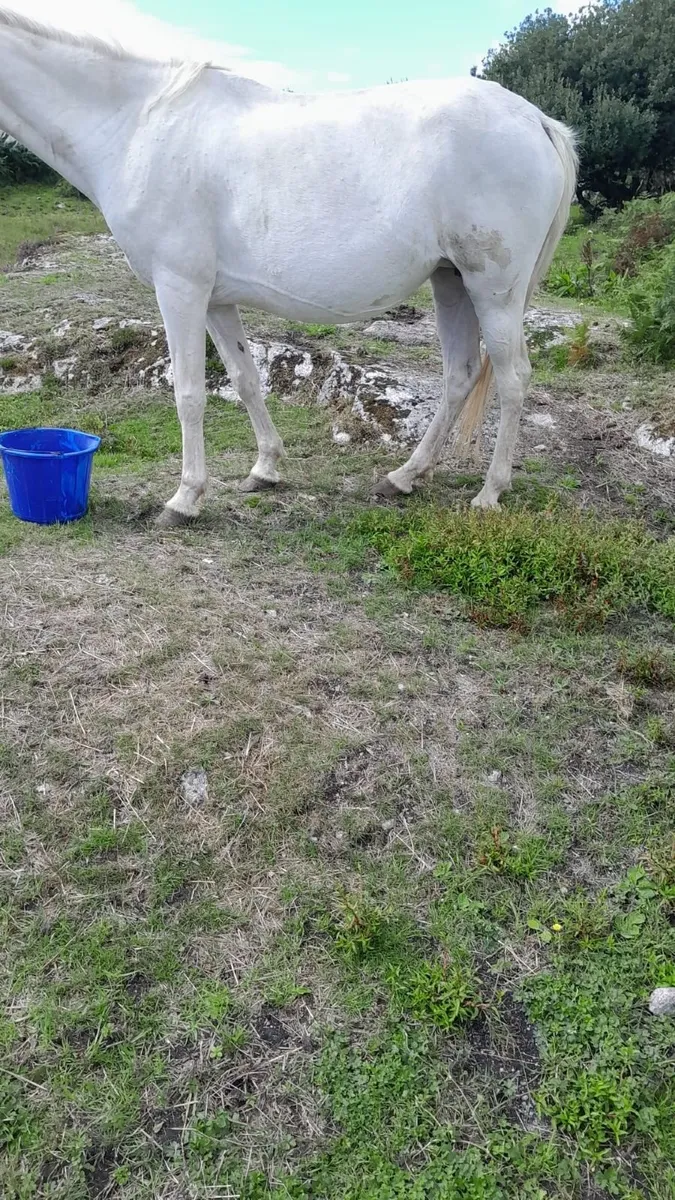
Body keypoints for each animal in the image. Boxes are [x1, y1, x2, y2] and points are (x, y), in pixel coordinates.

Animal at [0, 7, 577, 526]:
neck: (136, 124)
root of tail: (537, 120)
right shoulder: (215, 298)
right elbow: (244, 378)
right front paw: (265, 469)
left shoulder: (179, 287)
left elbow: (188, 394)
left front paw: (184, 500)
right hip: (451, 280)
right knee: (459, 376)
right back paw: (403, 477)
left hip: (494, 289)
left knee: (513, 379)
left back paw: (489, 493)